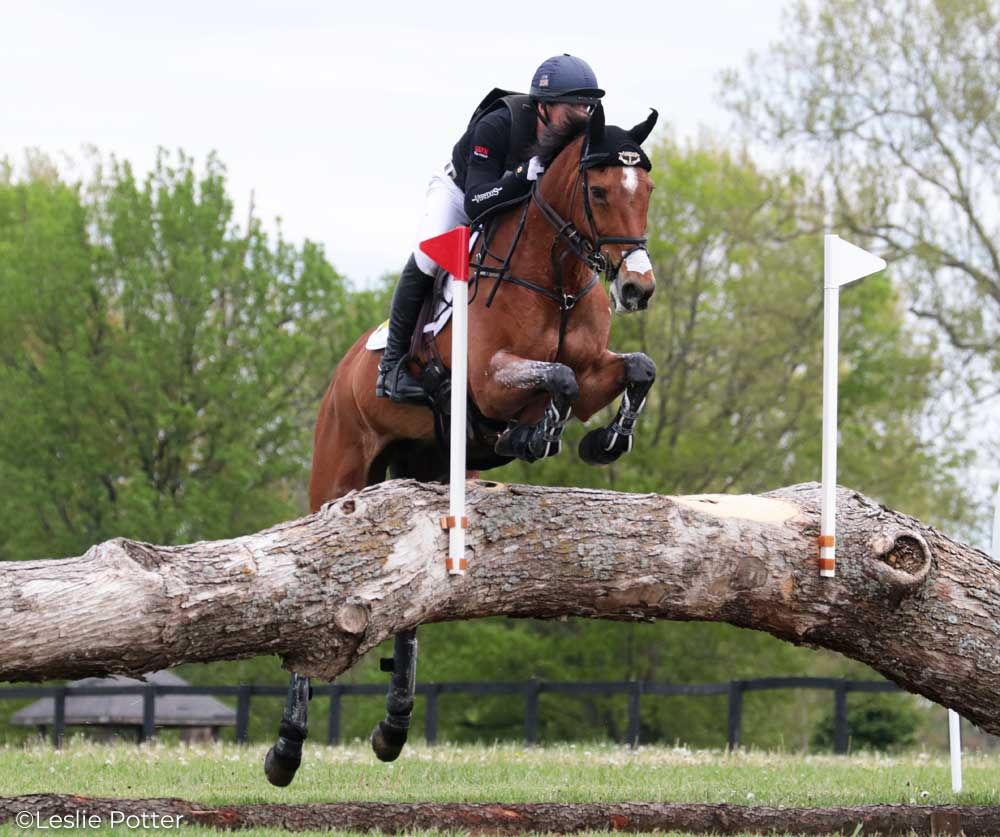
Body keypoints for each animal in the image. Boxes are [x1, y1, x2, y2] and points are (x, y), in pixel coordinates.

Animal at [262, 104, 660, 784]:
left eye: (648, 191)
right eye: (602, 191)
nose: (637, 288)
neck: (555, 277)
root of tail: (342, 370)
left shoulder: (594, 373)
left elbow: (632, 368)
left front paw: (605, 440)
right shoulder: (491, 384)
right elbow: (557, 377)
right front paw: (537, 433)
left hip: (433, 474)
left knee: (414, 601)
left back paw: (393, 728)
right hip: (339, 473)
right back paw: (287, 749)